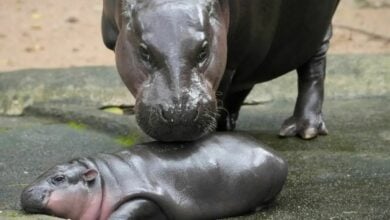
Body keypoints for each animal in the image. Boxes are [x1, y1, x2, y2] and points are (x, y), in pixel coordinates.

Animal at [22, 133, 290, 219]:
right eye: (45, 171)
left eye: (59, 178)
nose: (26, 191)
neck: (102, 180)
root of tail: (277, 154)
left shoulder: (144, 197)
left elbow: (126, 211)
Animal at [100, 0, 338, 141]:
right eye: (144, 51)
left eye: (204, 49)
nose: (180, 114)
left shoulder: (230, 57)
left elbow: (222, 88)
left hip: (315, 32)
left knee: (313, 68)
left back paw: (303, 129)